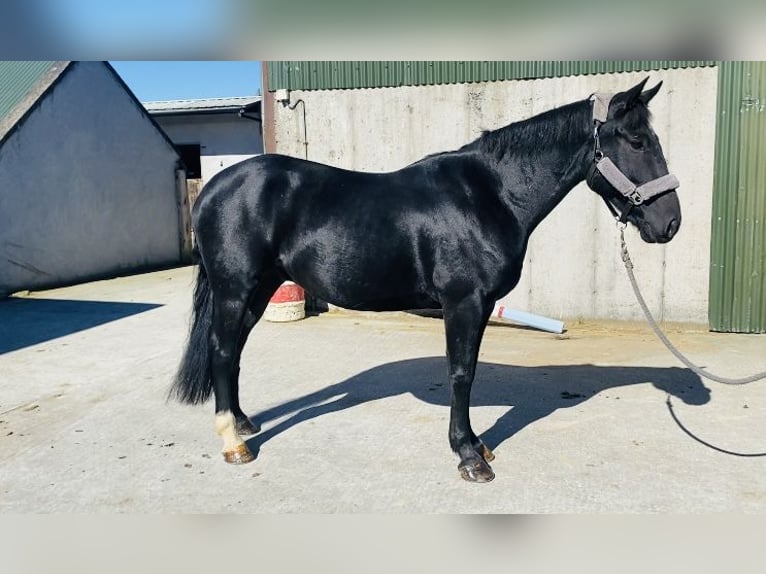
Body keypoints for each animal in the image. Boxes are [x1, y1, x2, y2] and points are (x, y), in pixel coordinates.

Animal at [174, 76, 684, 482]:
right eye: (637, 142)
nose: (670, 223)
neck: (491, 195)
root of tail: (216, 187)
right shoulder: (464, 302)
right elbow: (461, 373)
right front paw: (468, 456)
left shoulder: (478, 306)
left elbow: (468, 371)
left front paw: (476, 446)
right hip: (236, 290)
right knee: (223, 351)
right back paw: (234, 444)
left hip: (259, 289)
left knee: (234, 353)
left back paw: (243, 424)